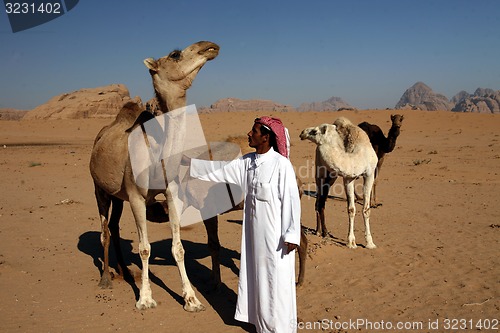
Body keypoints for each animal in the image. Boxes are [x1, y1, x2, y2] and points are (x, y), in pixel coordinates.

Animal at [88, 41, 221, 312]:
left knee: (114, 226)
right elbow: (144, 248)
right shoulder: (137, 197)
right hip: (100, 188)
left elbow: (178, 248)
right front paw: (145, 298)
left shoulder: (172, 194)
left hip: (118, 196)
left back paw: (125, 271)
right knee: (105, 230)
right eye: (175, 54)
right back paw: (106, 278)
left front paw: (191, 299)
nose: (209, 46)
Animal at [298, 115, 376, 248]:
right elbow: (351, 209)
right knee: (319, 201)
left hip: (331, 176)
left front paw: (370, 243)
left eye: (315, 131)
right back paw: (320, 232)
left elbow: (366, 209)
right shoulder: (348, 178)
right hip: (320, 173)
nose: (302, 133)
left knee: (320, 201)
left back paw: (321, 231)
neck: (359, 156)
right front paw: (351, 242)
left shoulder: (369, 174)